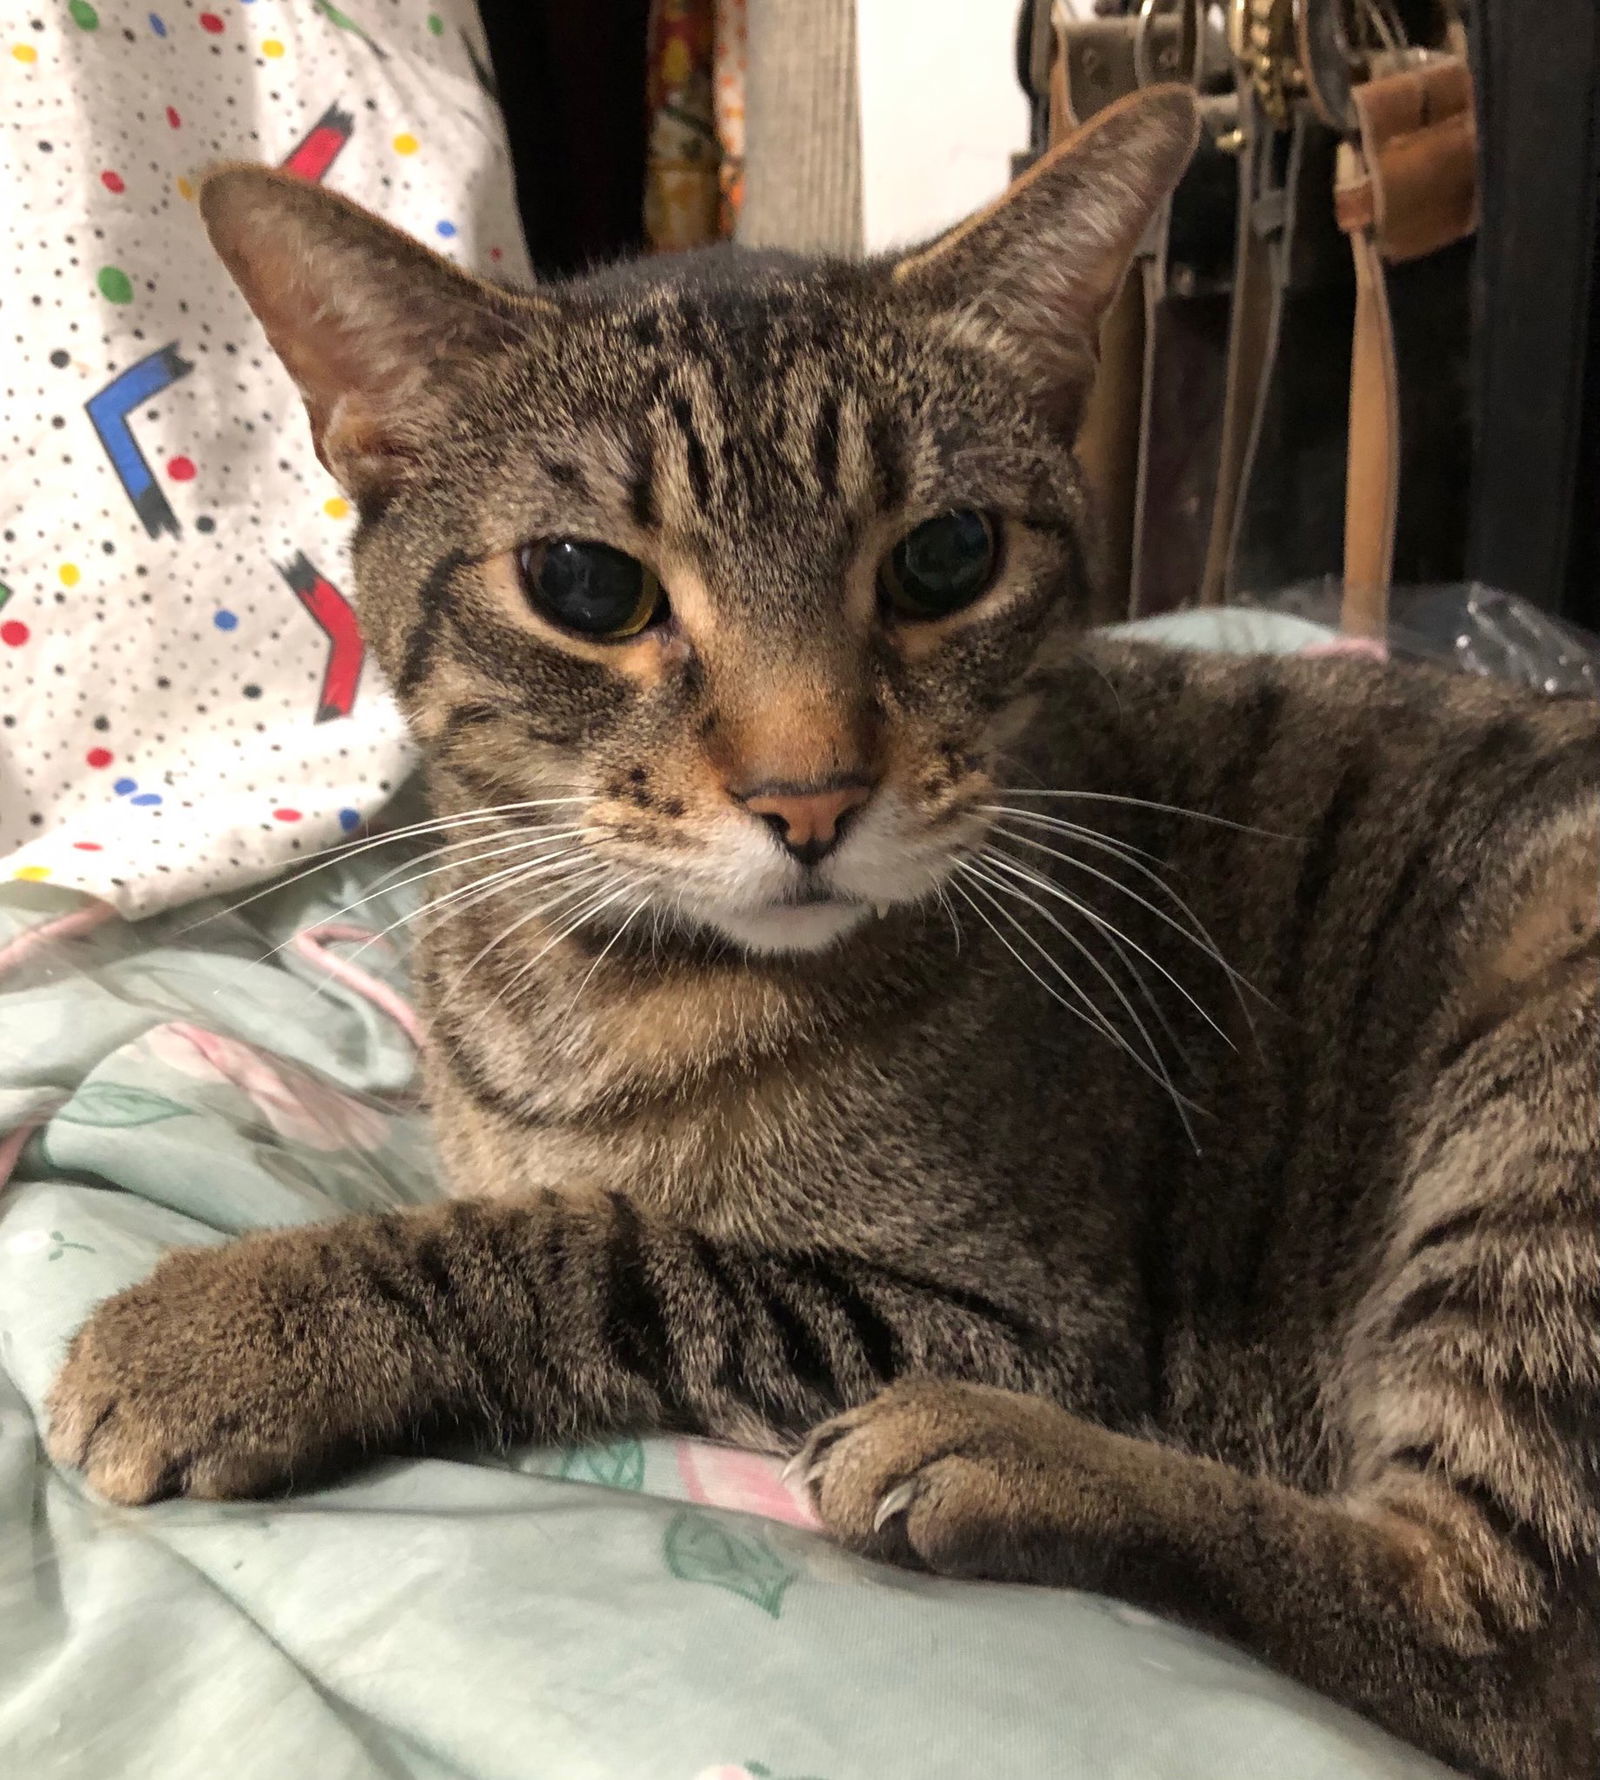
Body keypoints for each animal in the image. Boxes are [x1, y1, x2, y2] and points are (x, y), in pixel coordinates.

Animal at [43, 90, 1600, 1780]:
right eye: (584, 583)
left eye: (947, 557)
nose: (811, 795)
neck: (605, 983)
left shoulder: (1015, 1313)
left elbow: (589, 1247)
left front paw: (234, 1324)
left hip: (1538, 1096)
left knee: (1497, 1643)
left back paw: (986, 1459)